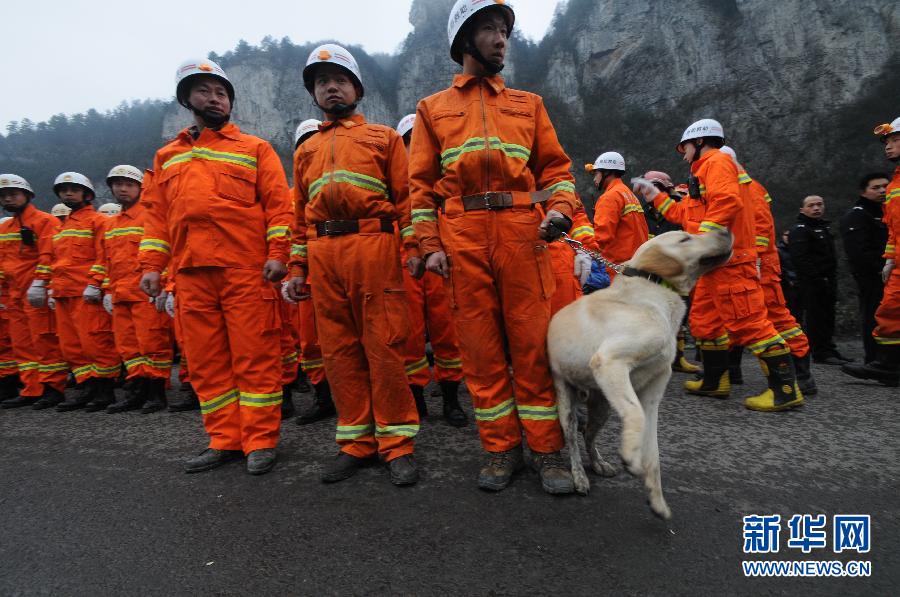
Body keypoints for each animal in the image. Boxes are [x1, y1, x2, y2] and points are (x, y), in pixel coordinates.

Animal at [548, 228, 732, 516]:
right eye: (685, 239)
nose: (725, 230)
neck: (653, 294)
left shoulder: (654, 391)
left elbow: (653, 451)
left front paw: (656, 499)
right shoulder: (609, 361)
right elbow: (635, 414)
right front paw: (630, 457)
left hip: (602, 406)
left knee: (588, 434)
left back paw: (599, 463)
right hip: (566, 404)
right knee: (574, 441)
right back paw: (579, 477)